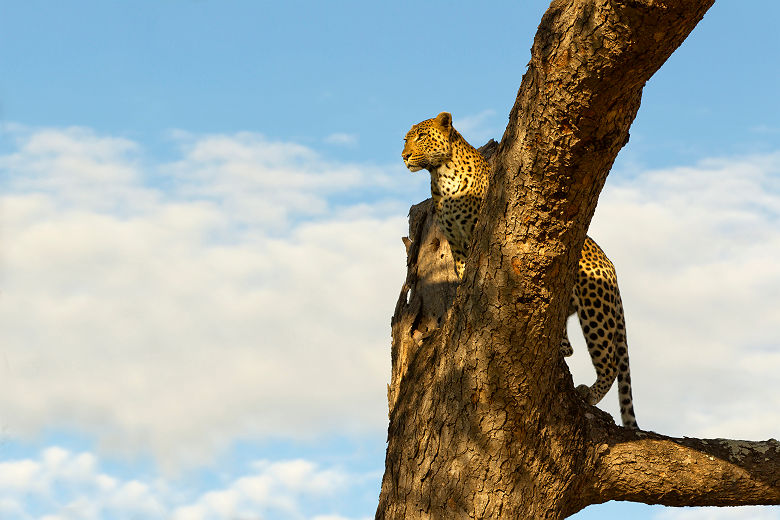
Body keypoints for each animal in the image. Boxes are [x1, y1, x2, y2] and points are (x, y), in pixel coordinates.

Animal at [406, 111, 636, 428]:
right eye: (406, 139)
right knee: (569, 344)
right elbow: (463, 273)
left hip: (595, 308)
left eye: (420, 137)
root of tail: (609, 264)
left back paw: (590, 393)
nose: (404, 156)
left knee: (610, 360)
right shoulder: (457, 245)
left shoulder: (479, 230)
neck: (441, 177)